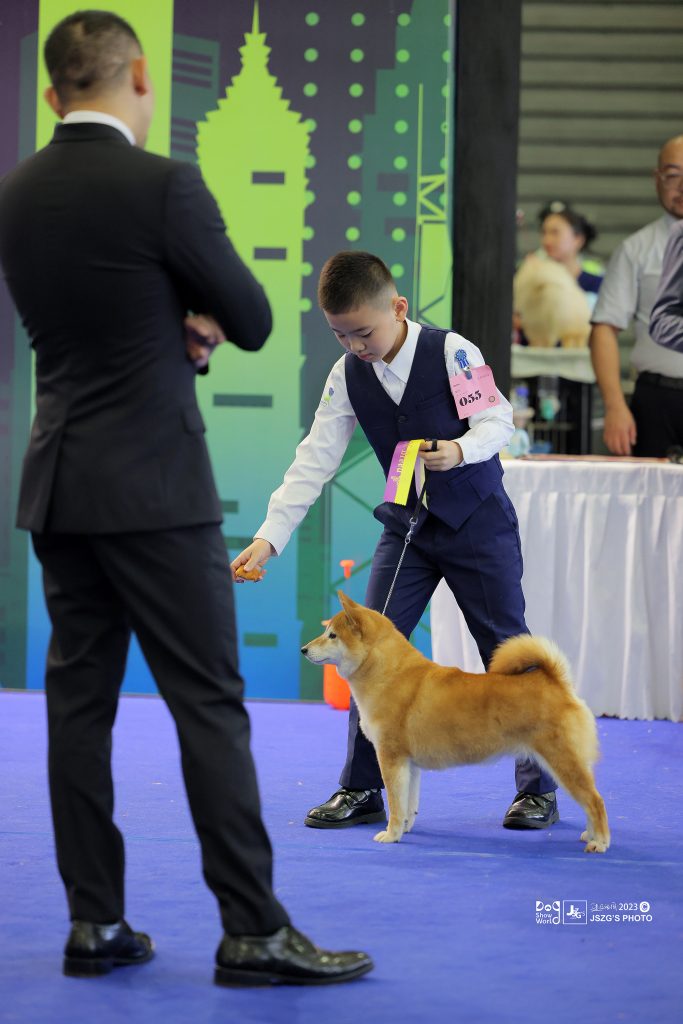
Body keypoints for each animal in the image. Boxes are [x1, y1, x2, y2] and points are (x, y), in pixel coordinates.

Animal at [302, 592, 610, 853]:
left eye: (332, 635)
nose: (303, 649)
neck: (389, 674)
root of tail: (555, 682)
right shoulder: (409, 764)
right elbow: (409, 803)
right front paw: (405, 829)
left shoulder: (391, 757)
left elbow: (396, 804)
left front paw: (391, 834)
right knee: (590, 800)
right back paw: (589, 834)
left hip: (562, 760)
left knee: (595, 800)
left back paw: (600, 841)